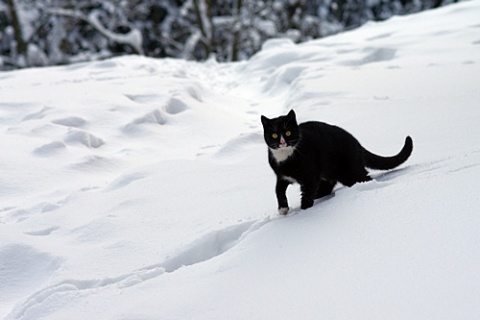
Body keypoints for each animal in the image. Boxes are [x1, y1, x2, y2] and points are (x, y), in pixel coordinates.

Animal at [260, 110, 414, 215]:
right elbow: (278, 190)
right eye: (274, 134)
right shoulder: (282, 175)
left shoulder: (310, 176)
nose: (282, 142)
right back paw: (320, 195)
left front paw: (304, 212)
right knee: (328, 184)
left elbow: (307, 193)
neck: (285, 157)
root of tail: (357, 143)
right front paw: (283, 208)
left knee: (364, 178)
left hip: (349, 171)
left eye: (288, 132)